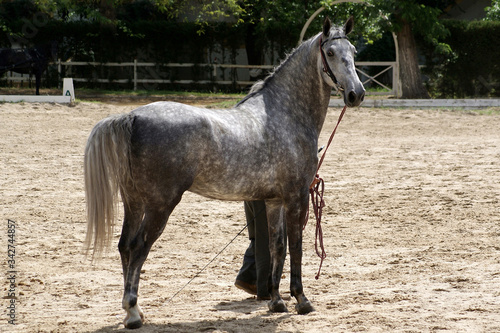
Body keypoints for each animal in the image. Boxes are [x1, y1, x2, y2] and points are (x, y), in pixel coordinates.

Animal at [85, 16, 364, 328]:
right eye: (330, 52)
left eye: (353, 51)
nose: (356, 94)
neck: (287, 113)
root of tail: (132, 116)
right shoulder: (297, 196)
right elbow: (296, 246)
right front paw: (301, 300)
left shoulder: (273, 201)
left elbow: (277, 246)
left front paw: (277, 302)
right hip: (159, 205)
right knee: (138, 248)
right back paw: (133, 313)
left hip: (133, 202)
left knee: (124, 246)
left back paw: (135, 311)